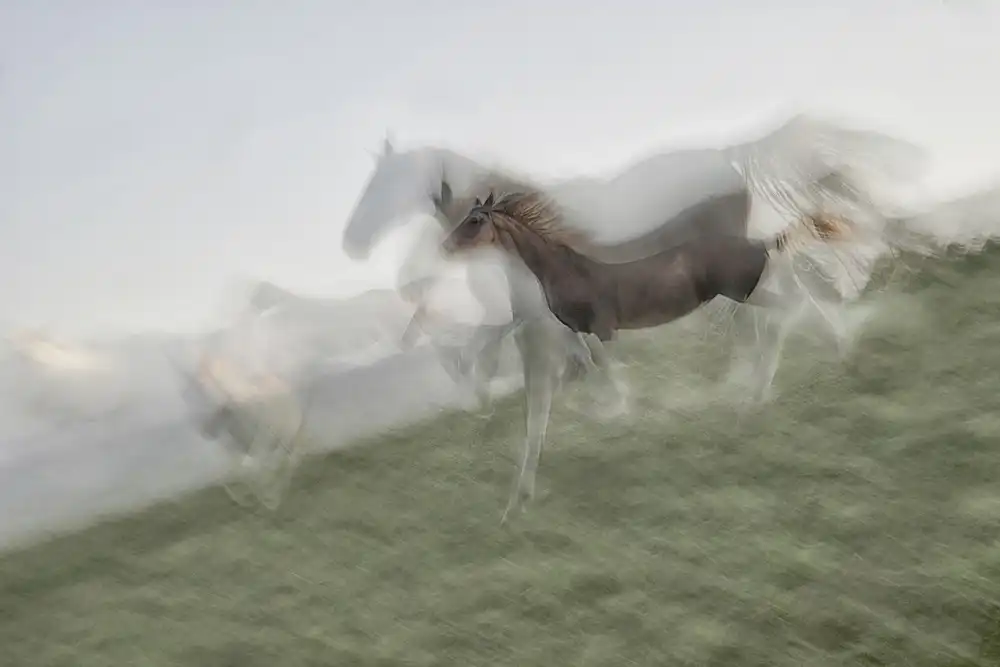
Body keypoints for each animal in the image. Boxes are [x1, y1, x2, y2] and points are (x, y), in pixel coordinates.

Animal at [442, 190, 856, 519]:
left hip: (747, 290)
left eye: (475, 220)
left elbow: (605, 368)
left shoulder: (601, 328)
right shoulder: (578, 332)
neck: (564, 270)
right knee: (788, 303)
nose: (446, 246)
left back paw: (790, 373)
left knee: (791, 306)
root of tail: (758, 243)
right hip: (750, 291)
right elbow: (586, 370)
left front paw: (623, 410)